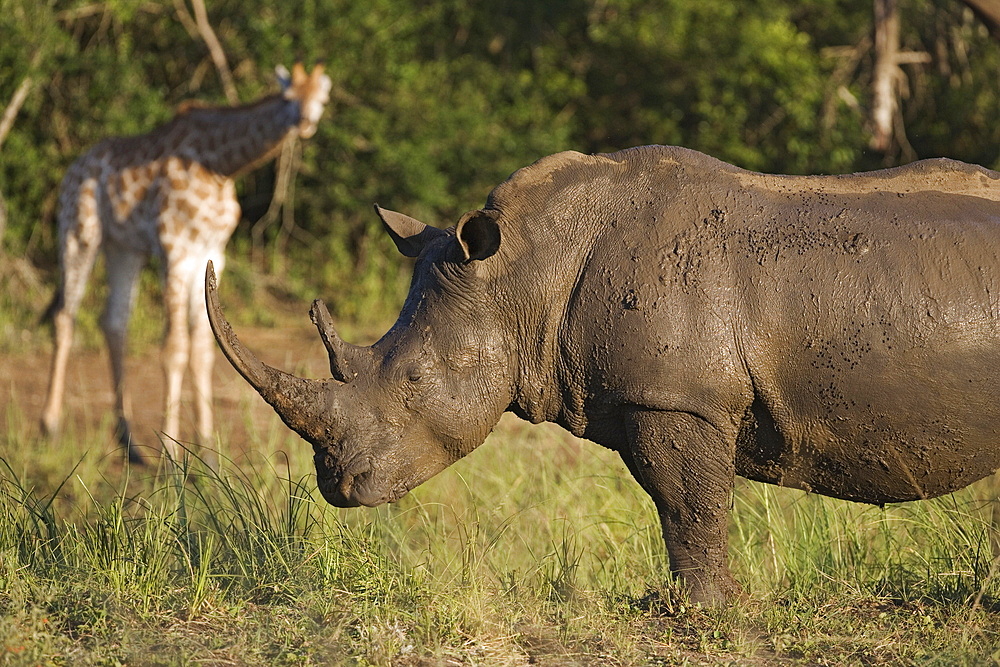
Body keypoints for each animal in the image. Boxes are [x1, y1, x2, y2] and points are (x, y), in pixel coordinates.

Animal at [42, 62, 332, 464]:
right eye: (289, 96)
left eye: (321, 98)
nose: (304, 122)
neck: (220, 167)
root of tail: (73, 168)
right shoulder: (174, 250)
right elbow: (175, 348)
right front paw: (169, 452)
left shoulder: (210, 252)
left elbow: (205, 350)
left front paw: (208, 449)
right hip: (78, 230)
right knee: (65, 317)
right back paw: (51, 427)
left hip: (123, 247)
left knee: (114, 322)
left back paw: (129, 442)